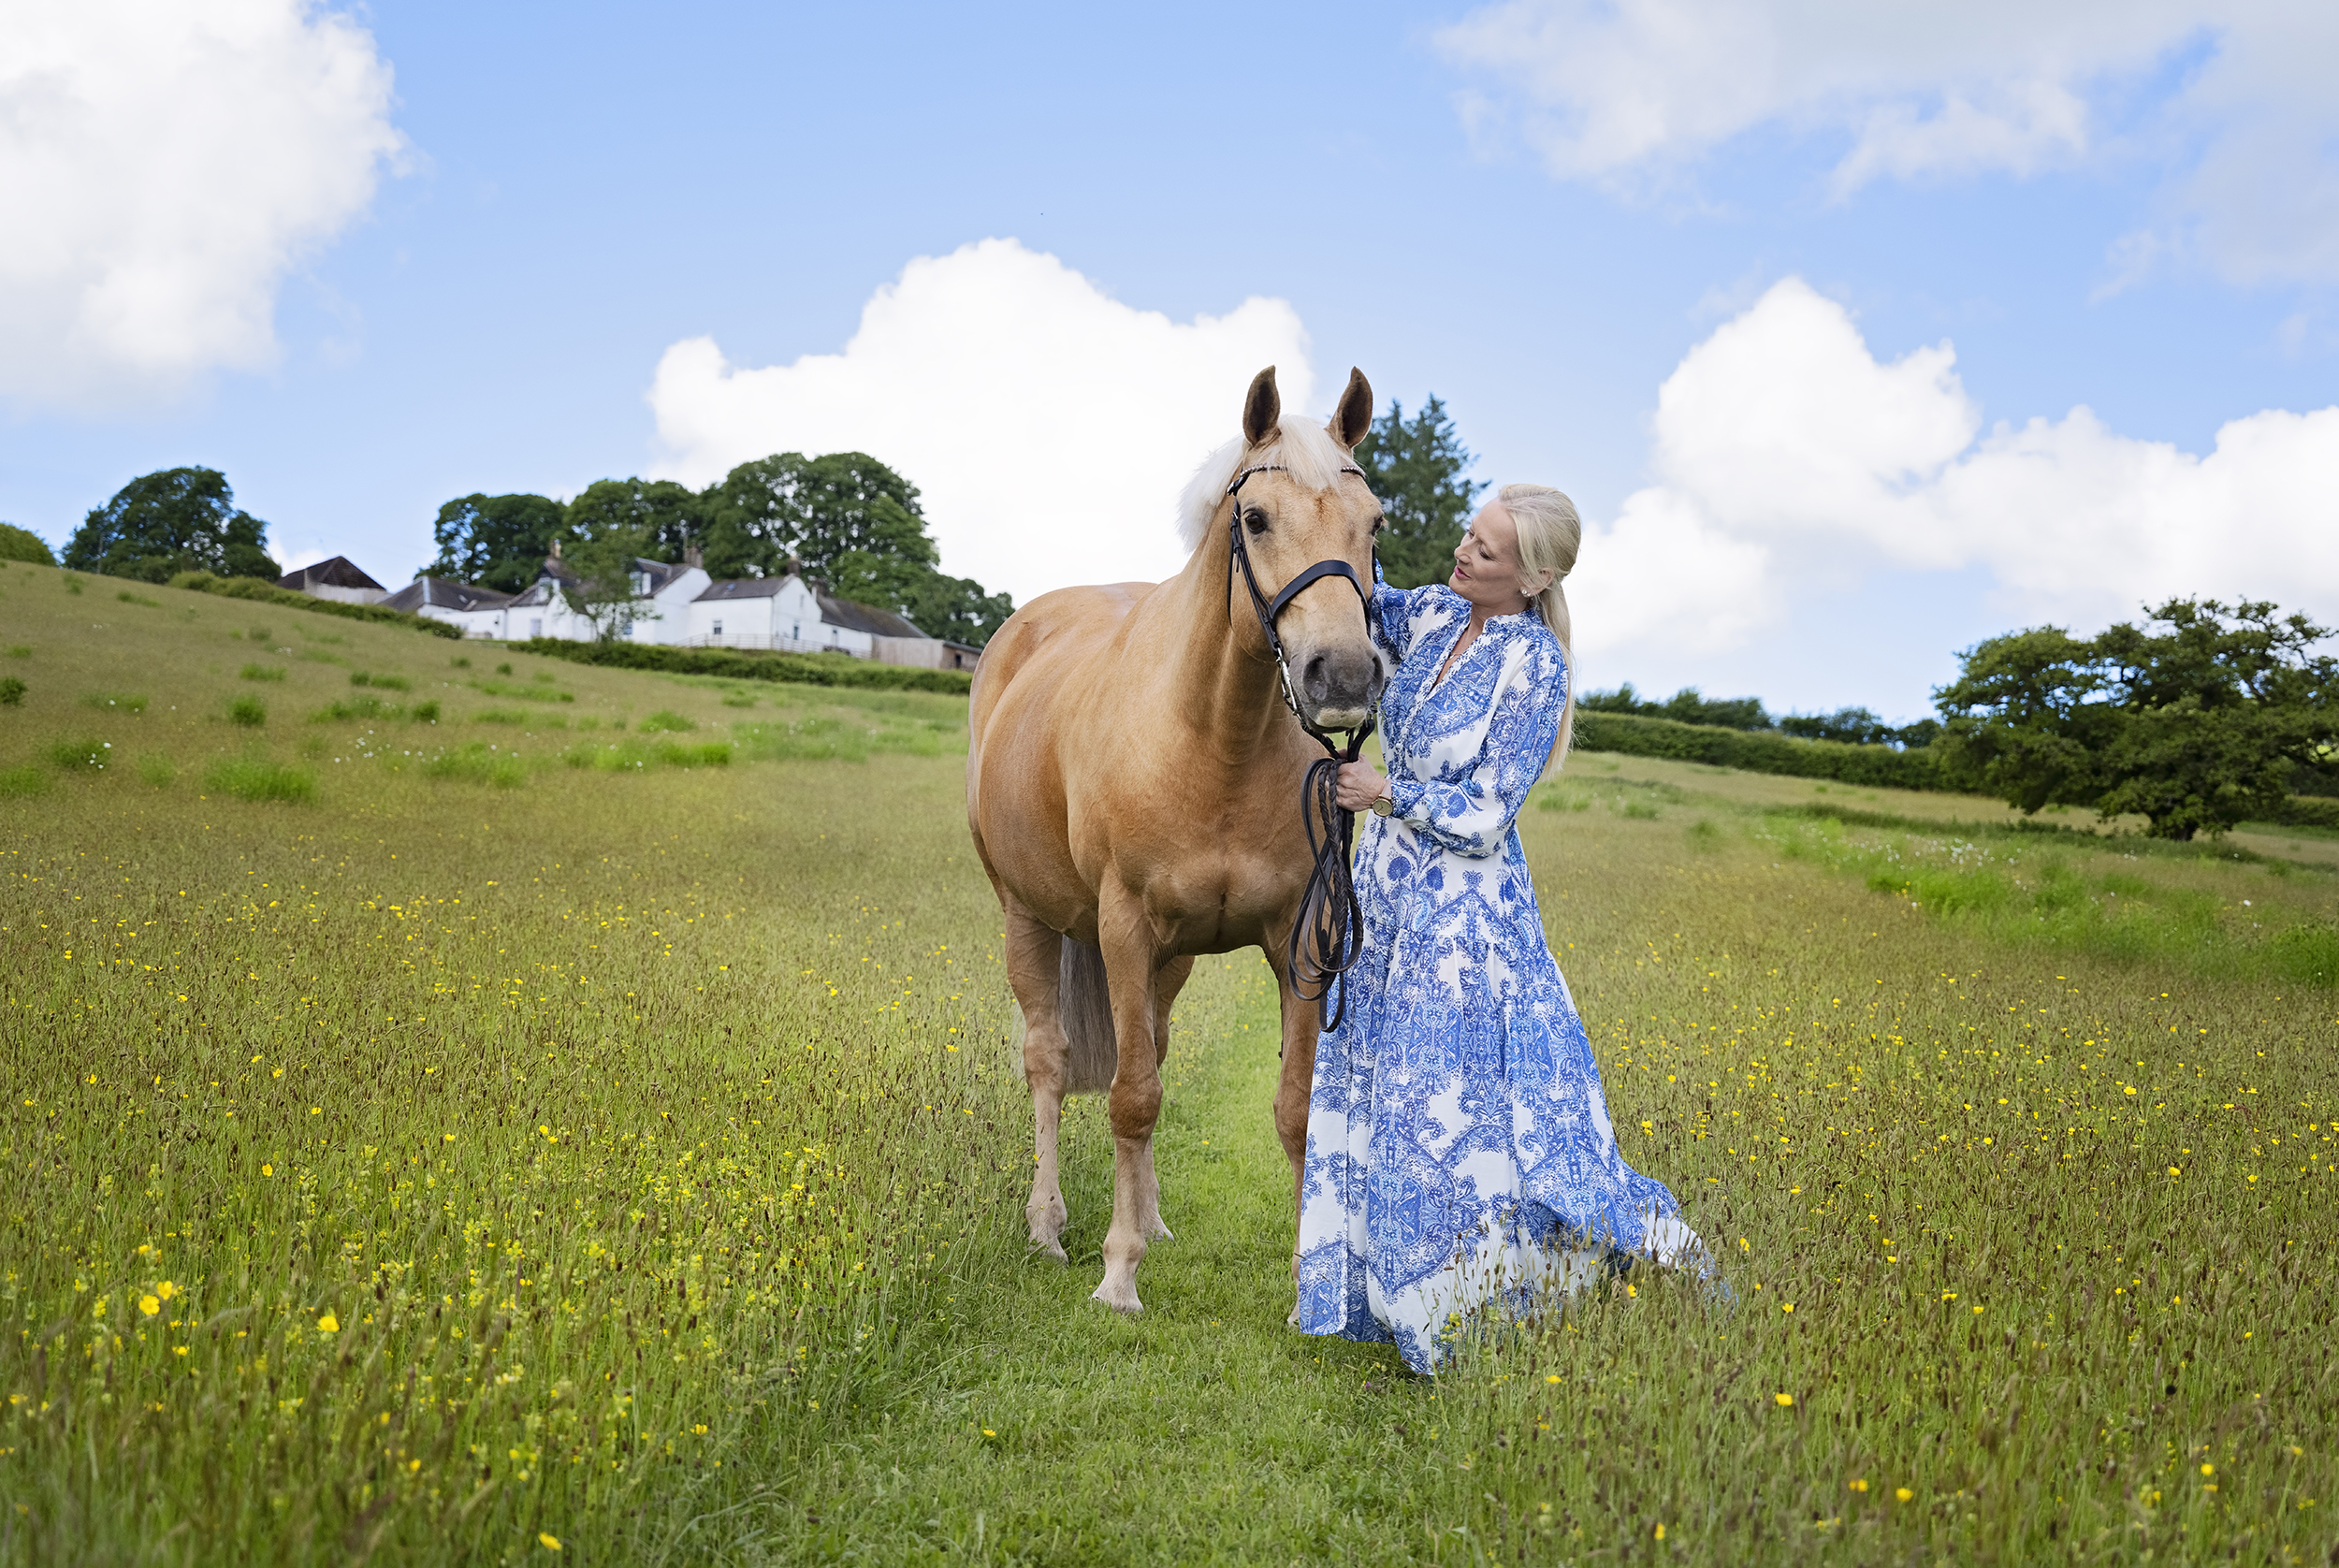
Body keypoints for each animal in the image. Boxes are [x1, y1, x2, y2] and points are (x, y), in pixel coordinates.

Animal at [966, 365, 1386, 1313]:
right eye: (1255, 519)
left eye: (1375, 521)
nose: (1343, 676)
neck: (1212, 739)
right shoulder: (1122, 928)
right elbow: (1130, 1099)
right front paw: (1118, 1273)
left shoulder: (1296, 938)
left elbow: (1291, 1108)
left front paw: (1305, 1280)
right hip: (1026, 918)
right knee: (1050, 1062)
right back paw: (1048, 1225)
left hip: (1173, 957)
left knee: (1148, 1046)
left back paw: (1151, 1219)